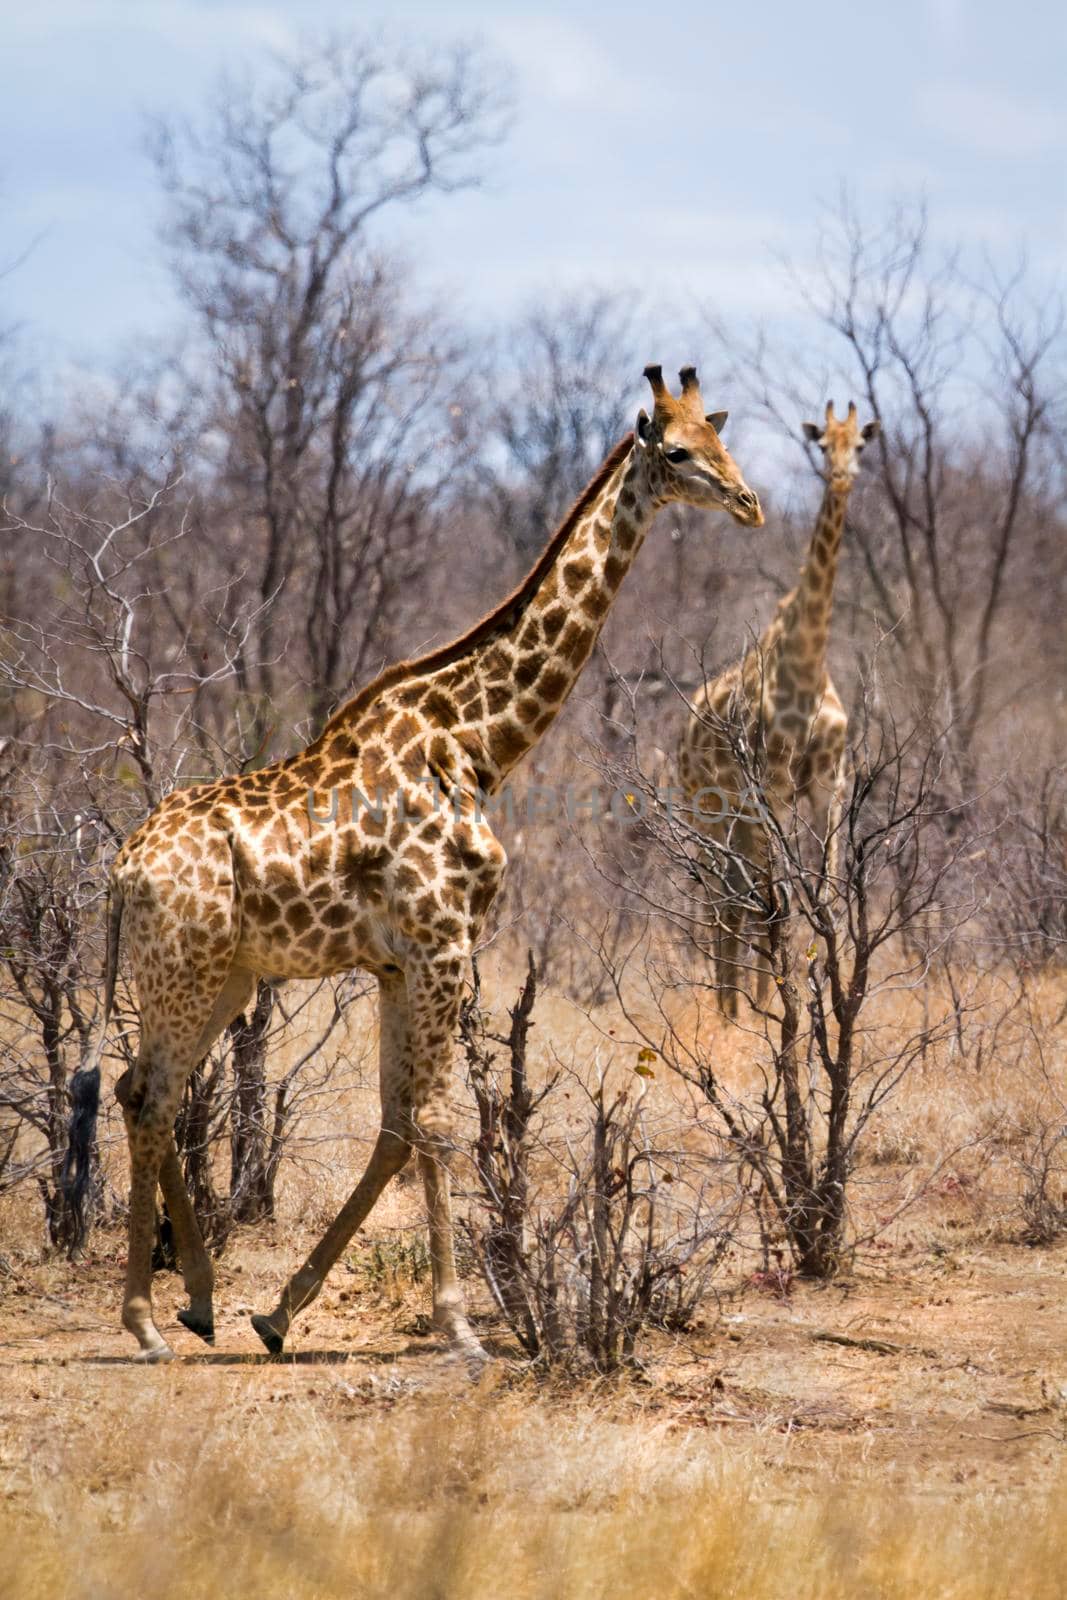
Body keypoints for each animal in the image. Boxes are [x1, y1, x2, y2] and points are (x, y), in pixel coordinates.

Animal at [87, 366, 764, 1363]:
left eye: (723, 442)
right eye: (676, 452)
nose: (750, 503)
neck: (478, 744)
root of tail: (121, 871)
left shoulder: (397, 964)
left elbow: (397, 1126)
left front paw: (279, 1311)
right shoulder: (444, 946)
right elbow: (440, 1124)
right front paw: (461, 1327)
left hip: (222, 975)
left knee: (144, 1090)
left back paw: (202, 1301)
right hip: (183, 968)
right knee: (151, 1098)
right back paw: (143, 1321)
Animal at [681, 400, 883, 1011]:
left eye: (859, 446)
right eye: (822, 445)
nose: (840, 476)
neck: (807, 670)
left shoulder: (828, 782)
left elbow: (826, 896)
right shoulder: (769, 784)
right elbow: (780, 905)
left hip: (738, 817)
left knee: (737, 901)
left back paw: (738, 1003)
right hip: (710, 809)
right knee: (725, 904)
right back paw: (726, 1010)